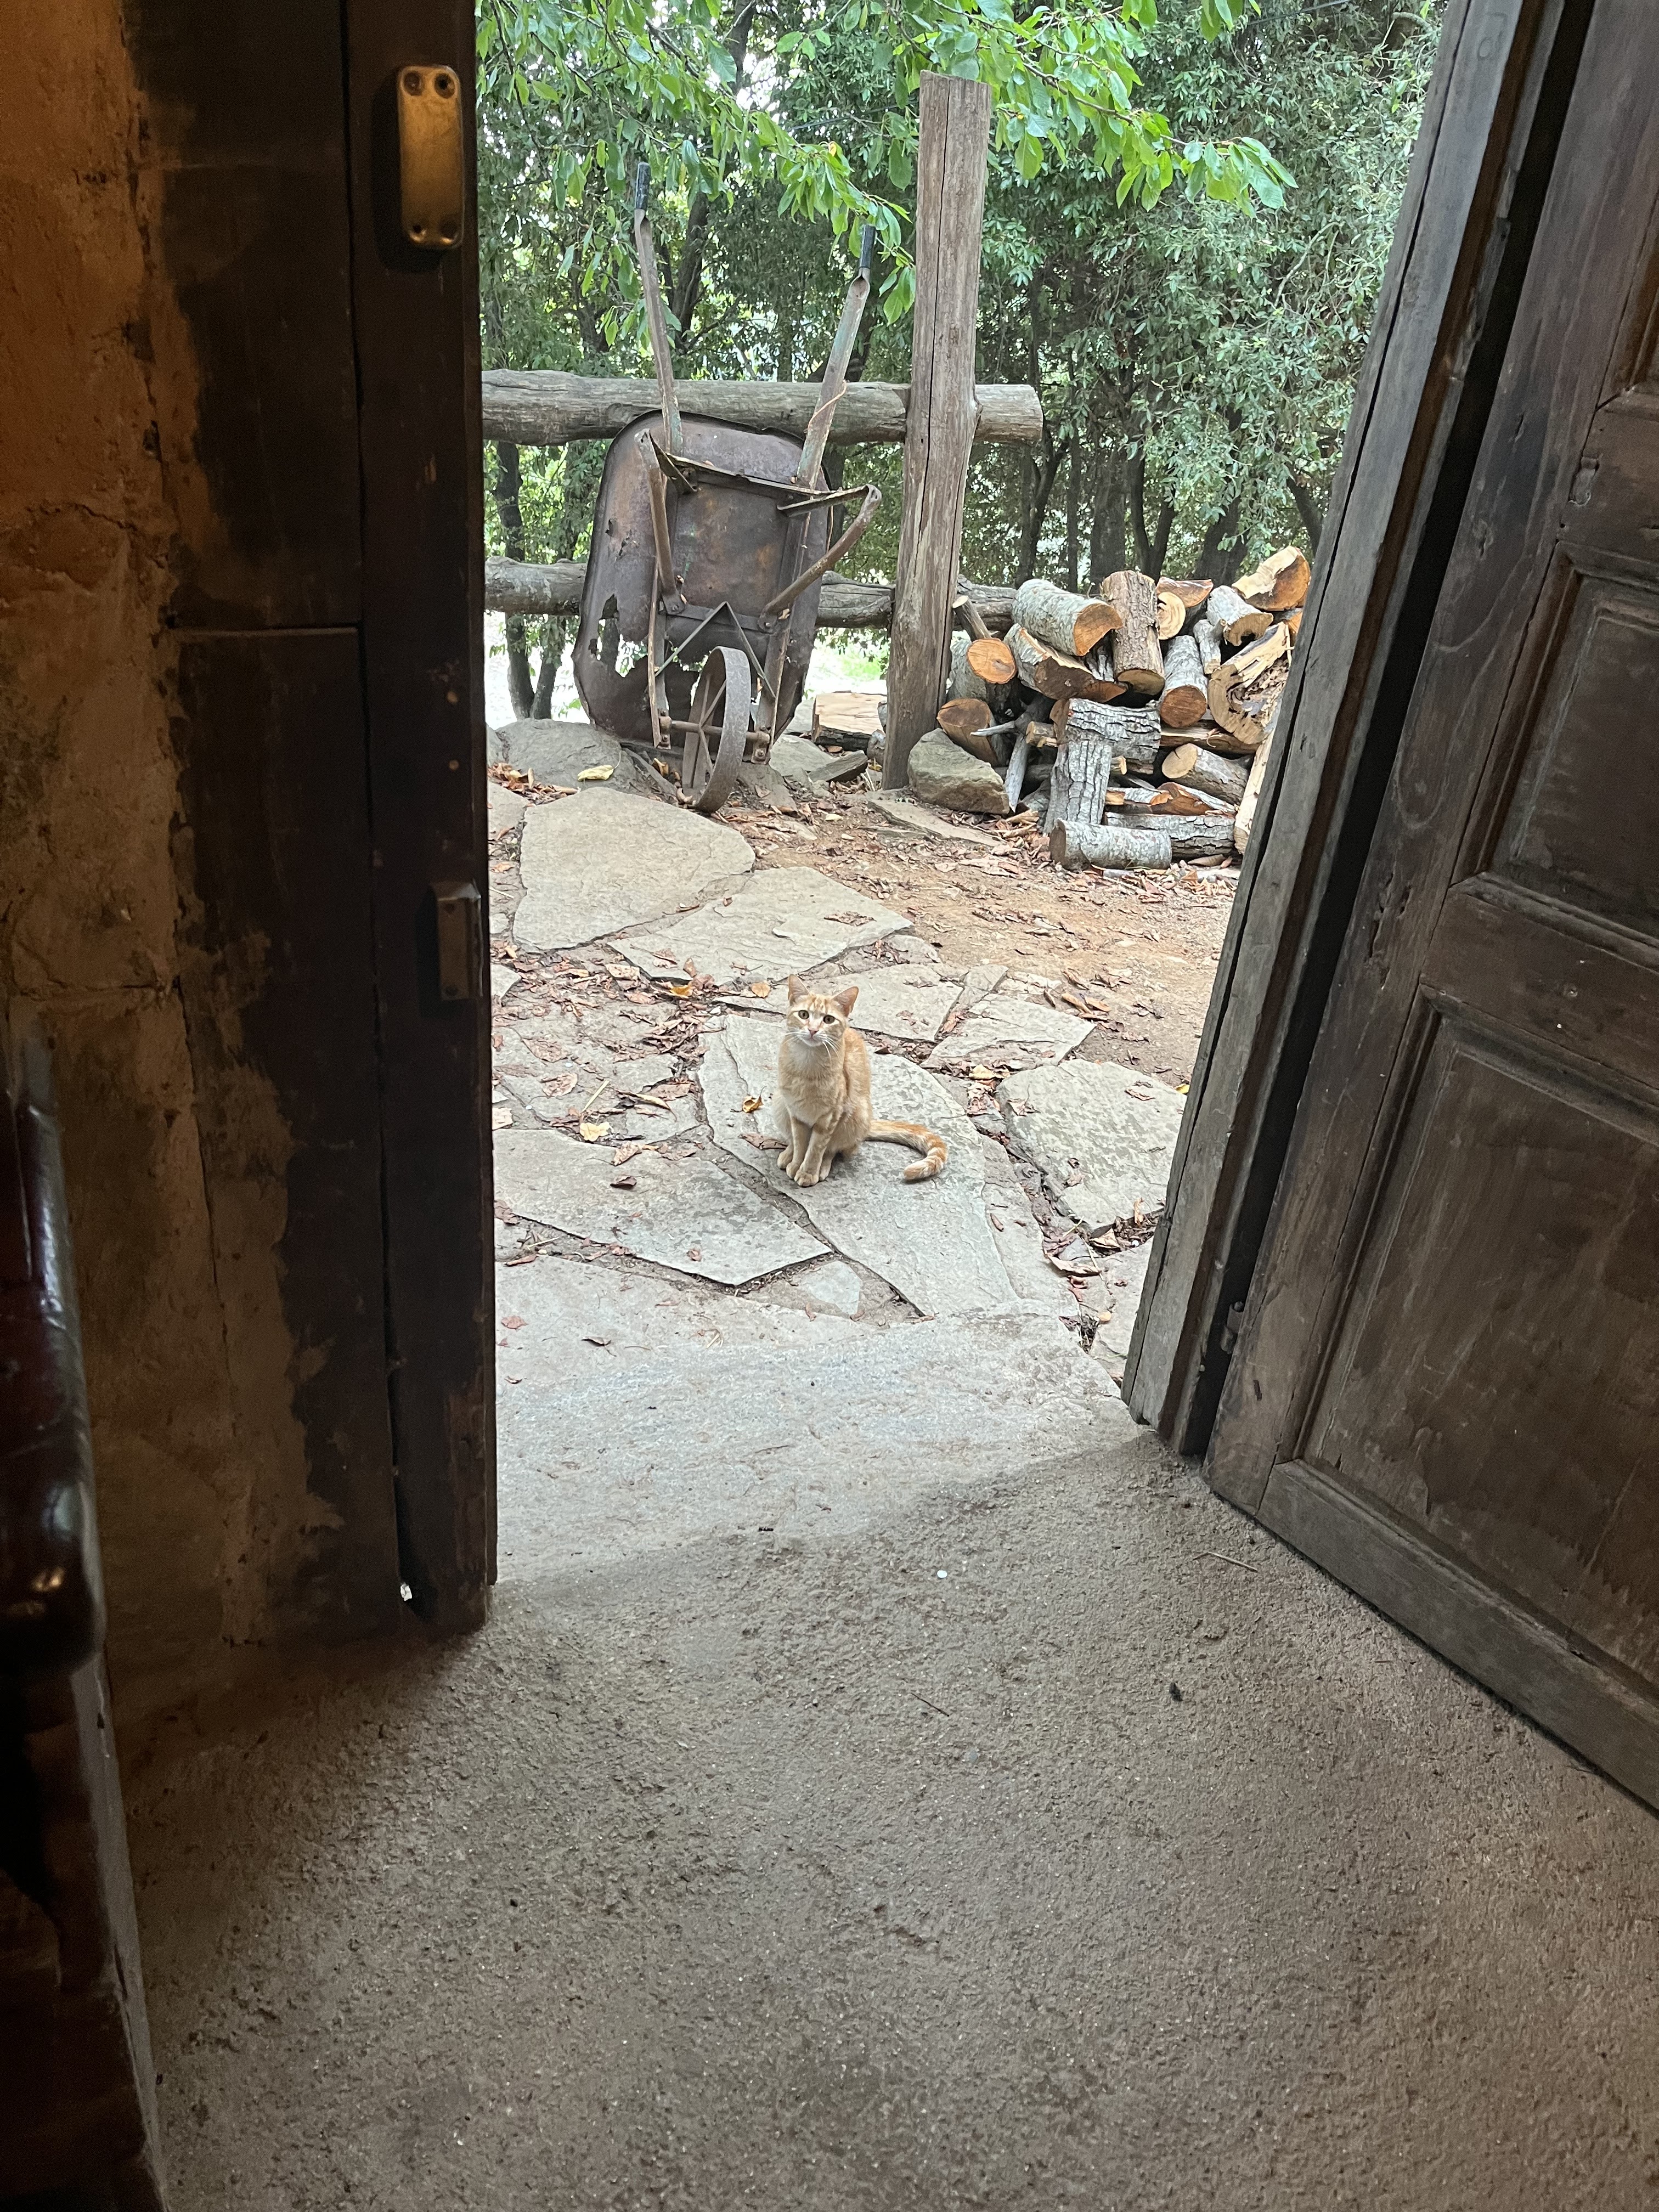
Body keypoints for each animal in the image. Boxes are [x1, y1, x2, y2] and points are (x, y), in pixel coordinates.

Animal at [775, 976, 947, 1188]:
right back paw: (787, 1156)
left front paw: (808, 1172)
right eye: (804, 1014)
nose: (813, 1030)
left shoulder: (830, 1117)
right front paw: (796, 1163)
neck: (808, 1066)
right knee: (793, 1141)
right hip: (779, 1103)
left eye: (828, 1020)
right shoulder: (796, 1113)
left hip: (857, 1113)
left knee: (834, 1150)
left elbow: (816, 1148)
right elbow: (800, 1143)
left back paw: (822, 1167)